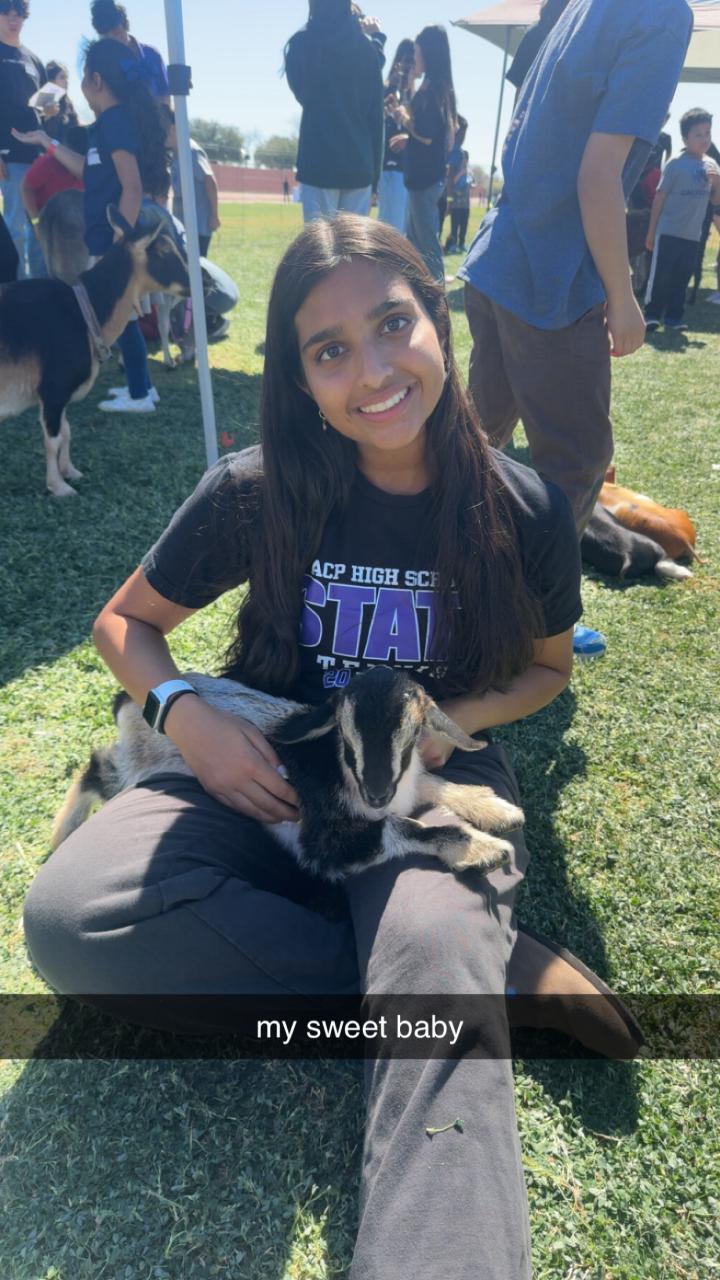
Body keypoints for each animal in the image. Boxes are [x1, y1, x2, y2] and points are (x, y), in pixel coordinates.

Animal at [0, 205, 190, 497]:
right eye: (164, 251)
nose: (199, 284)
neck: (84, 310)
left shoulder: (61, 395)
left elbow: (66, 431)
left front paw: (70, 471)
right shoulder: (53, 390)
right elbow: (53, 439)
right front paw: (59, 486)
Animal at [52, 667, 524, 881]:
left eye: (413, 736)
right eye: (346, 739)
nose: (375, 794)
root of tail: (129, 700)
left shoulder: (406, 781)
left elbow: (432, 782)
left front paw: (494, 808)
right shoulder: (322, 843)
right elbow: (402, 826)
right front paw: (482, 848)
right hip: (136, 767)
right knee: (94, 768)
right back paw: (60, 835)